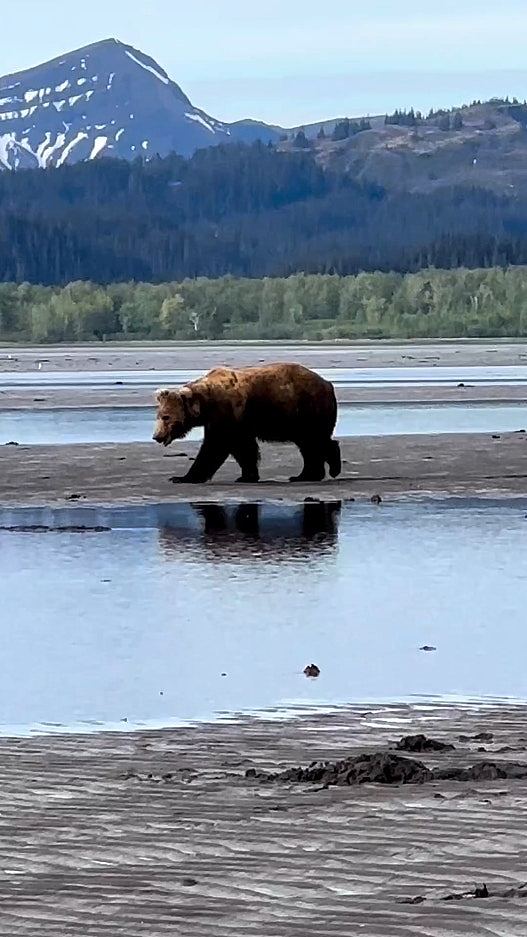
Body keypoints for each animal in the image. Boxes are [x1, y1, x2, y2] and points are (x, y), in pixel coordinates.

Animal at [153, 360, 342, 482]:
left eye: (166, 416)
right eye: (158, 415)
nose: (157, 436)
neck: (206, 403)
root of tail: (328, 384)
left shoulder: (227, 414)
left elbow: (215, 447)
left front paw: (183, 477)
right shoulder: (234, 423)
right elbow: (243, 449)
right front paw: (247, 475)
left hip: (307, 409)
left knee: (316, 440)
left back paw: (331, 469)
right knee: (308, 445)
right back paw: (305, 475)